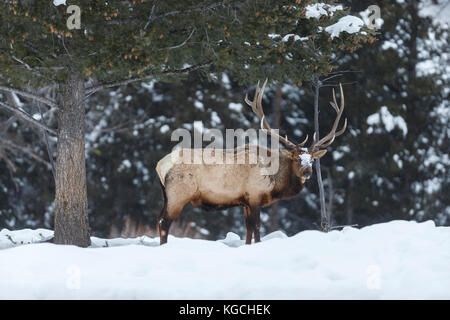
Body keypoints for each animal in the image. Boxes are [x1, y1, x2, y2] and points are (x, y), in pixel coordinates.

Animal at [156, 80, 346, 245]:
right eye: (297, 159)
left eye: (312, 160)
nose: (307, 172)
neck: (275, 182)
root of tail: (159, 166)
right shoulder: (255, 196)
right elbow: (257, 229)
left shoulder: (245, 201)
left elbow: (248, 230)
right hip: (178, 194)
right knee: (164, 223)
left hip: (166, 196)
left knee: (158, 221)